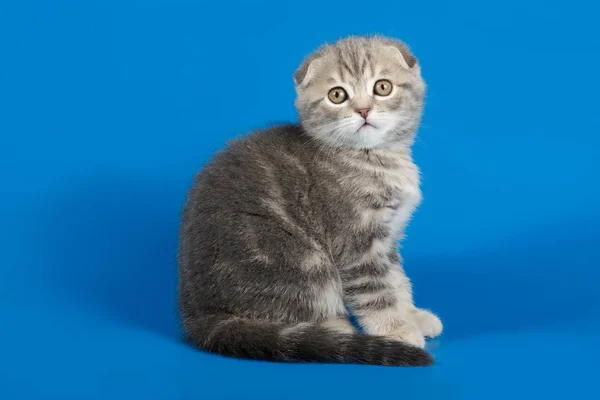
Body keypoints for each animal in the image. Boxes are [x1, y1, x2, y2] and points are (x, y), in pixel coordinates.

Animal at [177, 35, 440, 366]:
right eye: (337, 95)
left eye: (382, 87)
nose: (364, 110)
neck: (374, 159)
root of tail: (201, 315)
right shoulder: (354, 242)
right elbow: (376, 290)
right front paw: (395, 329)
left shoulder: (388, 237)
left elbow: (397, 280)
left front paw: (411, 316)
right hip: (300, 258)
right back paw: (334, 330)